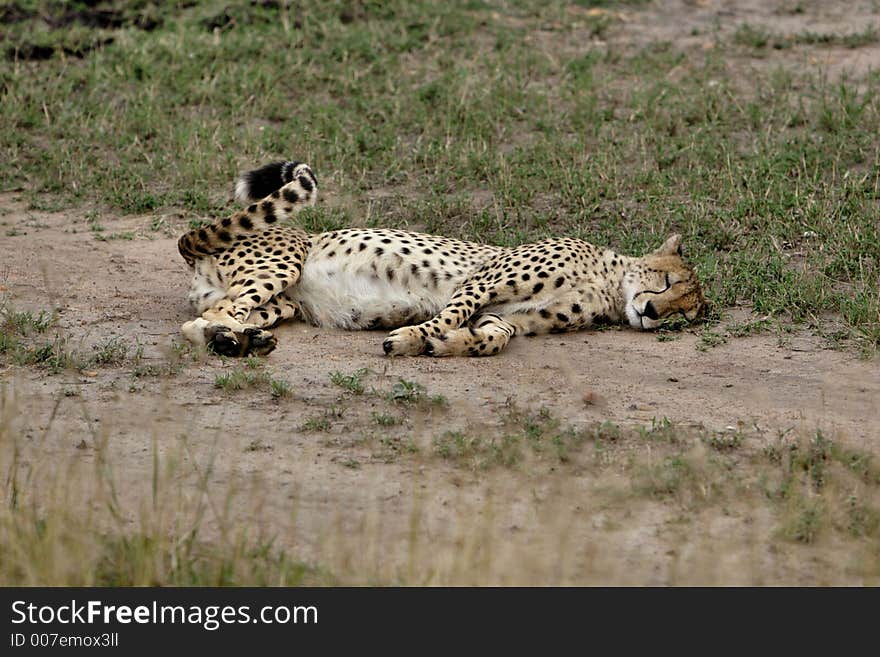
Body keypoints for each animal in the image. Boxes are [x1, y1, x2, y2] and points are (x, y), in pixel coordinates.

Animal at [179, 161, 708, 358]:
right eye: (666, 283)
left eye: (684, 317)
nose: (653, 312)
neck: (608, 283)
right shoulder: (481, 282)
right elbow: (447, 314)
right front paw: (414, 338)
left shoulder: (505, 314)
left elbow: (496, 336)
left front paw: (449, 345)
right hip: (284, 260)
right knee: (211, 314)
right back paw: (234, 340)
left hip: (284, 303)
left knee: (210, 318)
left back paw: (238, 340)